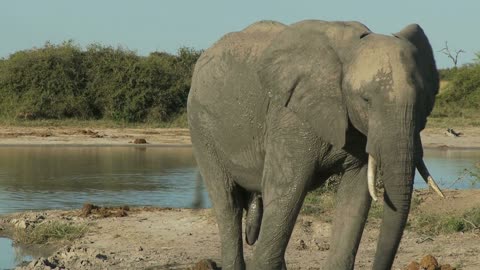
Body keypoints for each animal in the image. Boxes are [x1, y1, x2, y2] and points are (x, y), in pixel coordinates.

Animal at [186, 19, 444, 270]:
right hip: (201, 127)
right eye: (366, 100)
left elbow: (356, 195)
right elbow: (285, 189)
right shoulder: (290, 117)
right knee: (227, 203)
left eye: (424, 100)